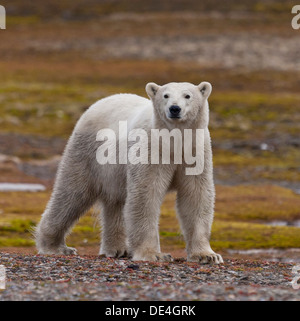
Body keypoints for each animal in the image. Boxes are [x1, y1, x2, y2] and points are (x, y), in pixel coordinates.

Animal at [34, 80, 223, 262]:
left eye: (187, 95)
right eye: (166, 95)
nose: (174, 108)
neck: (174, 141)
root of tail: (97, 104)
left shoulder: (195, 152)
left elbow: (195, 196)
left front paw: (207, 255)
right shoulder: (149, 150)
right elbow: (145, 195)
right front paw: (154, 254)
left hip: (113, 171)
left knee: (115, 202)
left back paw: (117, 249)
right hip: (87, 153)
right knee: (72, 193)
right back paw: (56, 246)